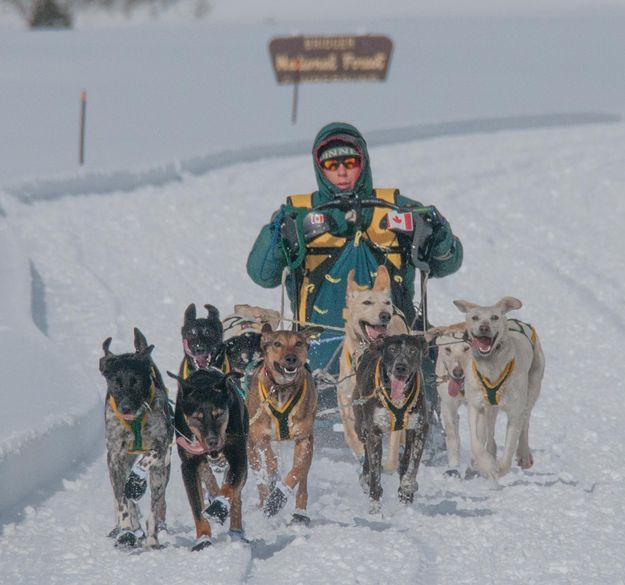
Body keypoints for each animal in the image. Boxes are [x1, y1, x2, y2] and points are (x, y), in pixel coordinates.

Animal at [100, 328, 173, 548]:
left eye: (137, 381)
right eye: (116, 383)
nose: (125, 408)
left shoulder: (162, 445)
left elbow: (149, 458)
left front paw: (136, 483)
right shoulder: (115, 457)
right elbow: (122, 501)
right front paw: (125, 530)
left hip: (160, 475)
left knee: (155, 506)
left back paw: (152, 538)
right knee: (125, 499)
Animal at [246, 324, 320, 524]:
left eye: (299, 343)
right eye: (277, 344)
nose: (291, 358)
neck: (281, 388)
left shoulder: (304, 439)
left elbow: (297, 471)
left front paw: (277, 499)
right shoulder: (260, 436)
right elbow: (270, 460)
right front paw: (273, 482)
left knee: (303, 479)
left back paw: (299, 512)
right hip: (250, 450)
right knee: (260, 478)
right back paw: (264, 499)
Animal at [338, 264, 408, 470]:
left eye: (386, 303)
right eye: (367, 302)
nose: (385, 315)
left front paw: (389, 465)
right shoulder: (347, 402)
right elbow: (350, 433)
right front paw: (361, 453)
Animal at [450, 296, 544, 480]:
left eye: (494, 317)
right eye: (475, 317)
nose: (484, 327)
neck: (491, 367)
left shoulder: (515, 413)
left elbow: (508, 451)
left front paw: (498, 468)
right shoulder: (475, 406)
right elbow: (476, 442)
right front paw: (486, 464)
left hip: (532, 388)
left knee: (525, 421)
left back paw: (524, 454)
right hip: (489, 409)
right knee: (489, 432)